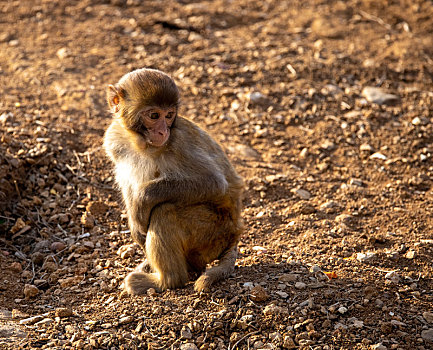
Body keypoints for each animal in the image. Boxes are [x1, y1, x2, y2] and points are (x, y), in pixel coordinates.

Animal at [102, 68, 243, 296]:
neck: (140, 143)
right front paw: (134, 222)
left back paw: (166, 281)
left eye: (168, 115)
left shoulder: (179, 142)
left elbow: (214, 182)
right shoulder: (114, 140)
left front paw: (142, 202)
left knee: (164, 211)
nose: (163, 131)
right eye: (154, 115)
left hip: (212, 233)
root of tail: (235, 233)